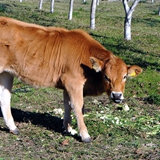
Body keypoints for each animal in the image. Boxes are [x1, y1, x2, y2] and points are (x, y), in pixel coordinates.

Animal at [0, 16, 142, 142]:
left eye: (124, 76)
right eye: (106, 76)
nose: (117, 95)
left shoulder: (66, 84)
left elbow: (67, 105)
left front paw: (68, 128)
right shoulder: (74, 83)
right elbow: (78, 106)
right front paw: (85, 135)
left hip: (6, 73)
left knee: (5, 98)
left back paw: (13, 128)